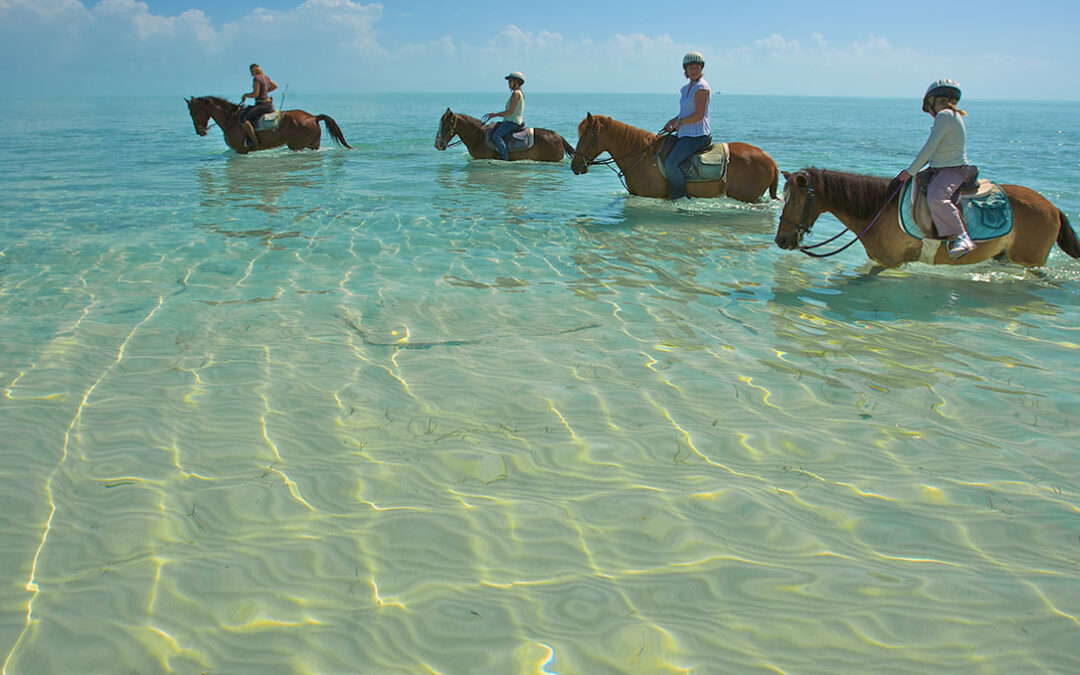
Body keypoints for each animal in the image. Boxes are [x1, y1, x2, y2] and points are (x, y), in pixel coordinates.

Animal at [184, 95, 349, 153]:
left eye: (192, 112)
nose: (200, 131)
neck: (230, 119)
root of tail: (314, 117)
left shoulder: (241, 150)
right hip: (313, 144)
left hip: (297, 146)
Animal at [773, 168, 1075, 268]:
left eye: (796, 201)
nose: (781, 240)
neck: (878, 209)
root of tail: (1053, 208)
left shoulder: (890, 264)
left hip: (1031, 260)